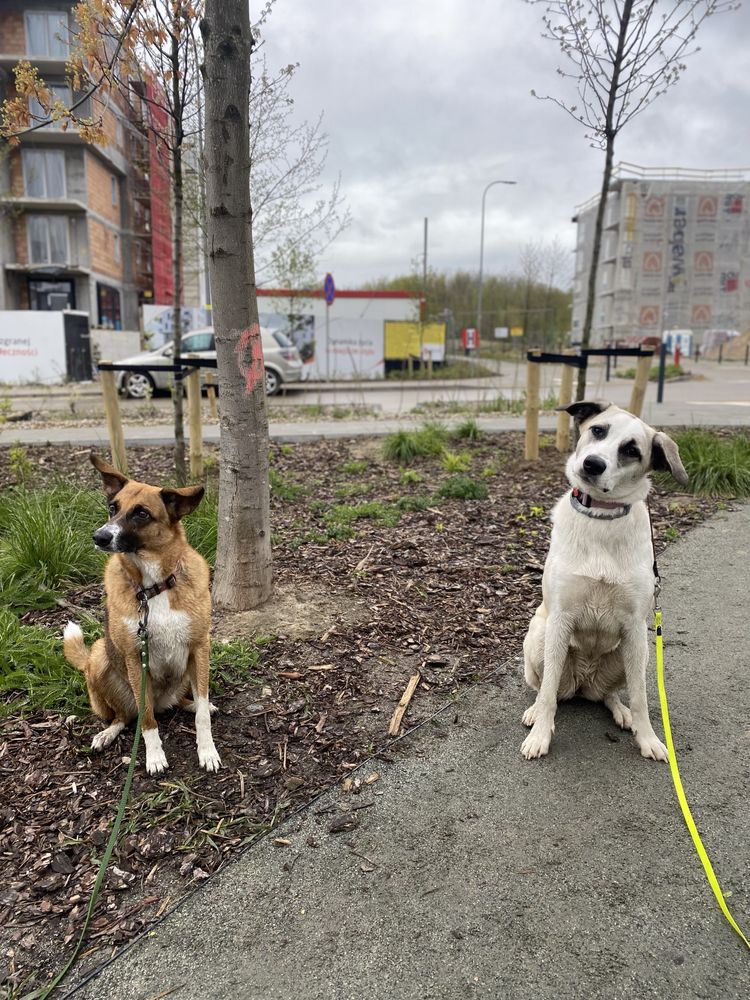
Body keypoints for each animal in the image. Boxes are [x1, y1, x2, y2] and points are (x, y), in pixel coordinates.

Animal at [64, 454, 220, 772]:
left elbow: (201, 714)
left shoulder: (200, 648)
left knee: (184, 702)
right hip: (101, 658)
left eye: (142, 514)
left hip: (186, 674)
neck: (154, 587)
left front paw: (207, 750)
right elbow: (146, 721)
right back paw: (107, 733)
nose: (99, 537)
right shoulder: (136, 658)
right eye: (113, 508)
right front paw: (155, 756)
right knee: (126, 717)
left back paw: (192, 704)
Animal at [524, 402, 688, 760]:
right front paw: (541, 734)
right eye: (598, 430)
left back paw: (621, 712)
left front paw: (648, 737)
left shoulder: (635, 627)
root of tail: (584, 683)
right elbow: (547, 694)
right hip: (540, 637)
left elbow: (641, 698)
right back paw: (534, 711)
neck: (601, 517)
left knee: (609, 695)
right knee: (546, 690)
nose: (592, 464)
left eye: (632, 450)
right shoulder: (560, 619)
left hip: (636, 653)